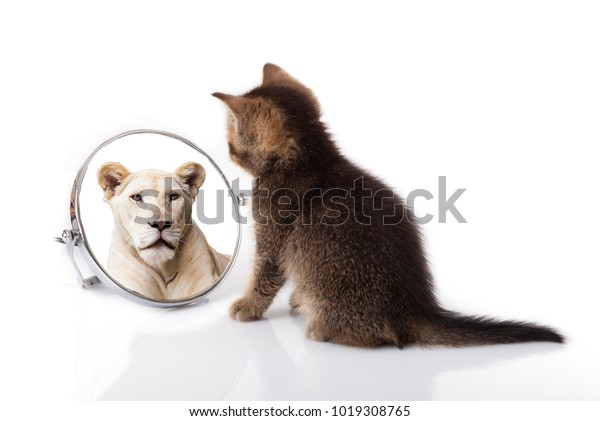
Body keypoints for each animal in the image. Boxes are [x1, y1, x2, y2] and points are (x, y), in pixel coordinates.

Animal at [213, 61, 564, 344]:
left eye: (232, 141)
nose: (228, 153)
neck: (307, 159)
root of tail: (416, 310)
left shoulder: (274, 238)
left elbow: (264, 276)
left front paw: (248, 306)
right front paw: (291, 299)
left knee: (379, 335)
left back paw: (323, 328)